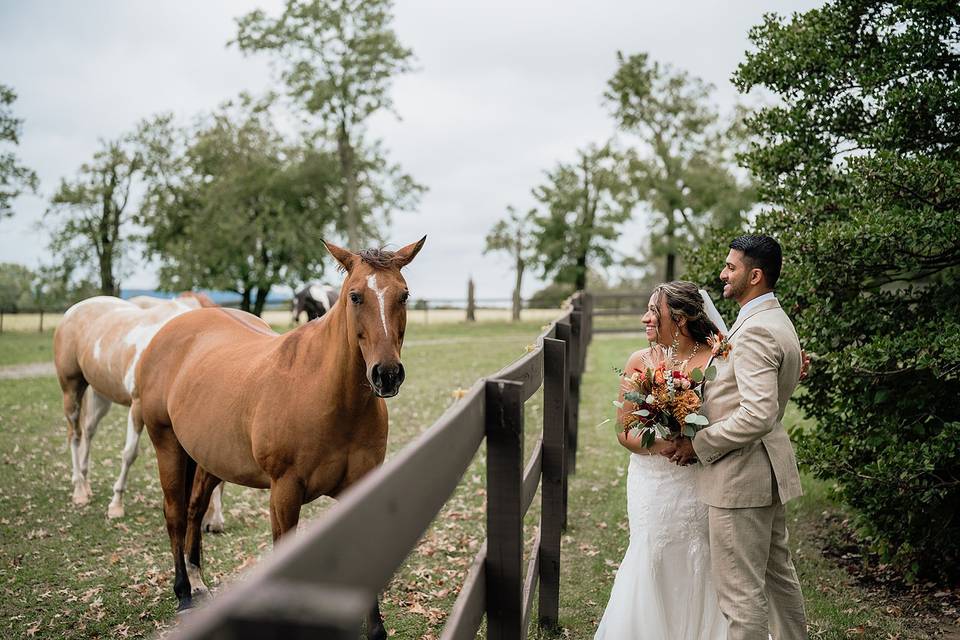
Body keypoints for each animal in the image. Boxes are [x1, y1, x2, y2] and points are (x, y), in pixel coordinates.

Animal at [53, 291, 226, 529]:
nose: (215, 526)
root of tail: (74, 310)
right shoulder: (138, 406)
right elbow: (129, 454)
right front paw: (116, 505)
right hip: (71, 389)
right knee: (75, 435)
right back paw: (79, 490)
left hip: (100, 395)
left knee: (88, 432)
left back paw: (85, 484)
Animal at [136, 238, 424, 637]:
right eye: (354, 296)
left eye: (404, 295)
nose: (387, 374)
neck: (326, 393)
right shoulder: (285, 493)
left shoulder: (361, 486)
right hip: (167, 446)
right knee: (175, 514)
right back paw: (182, 593)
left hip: (209, 458)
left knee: (195, 509)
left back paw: (197, 581)